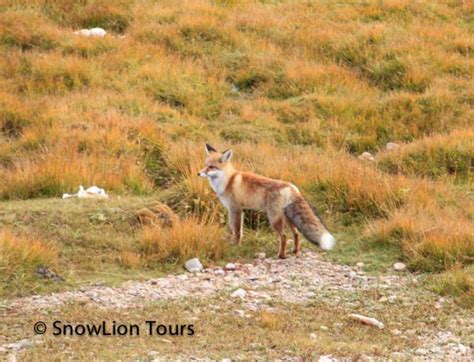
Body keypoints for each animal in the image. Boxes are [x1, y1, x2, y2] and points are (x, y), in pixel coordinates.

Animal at [198, 143, 336, 258]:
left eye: (211, 167)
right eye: (205, 165)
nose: (198, 174)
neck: (228, 181)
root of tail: (291, 187)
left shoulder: (236, 209)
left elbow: (237, 232)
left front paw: (236, 246)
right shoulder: (231, 210)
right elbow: (231, 229)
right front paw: (229, 241)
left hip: (274, 219)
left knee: (284, 237)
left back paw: (281, 255)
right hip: (286, 218)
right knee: (296, 234)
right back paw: (295, 251)